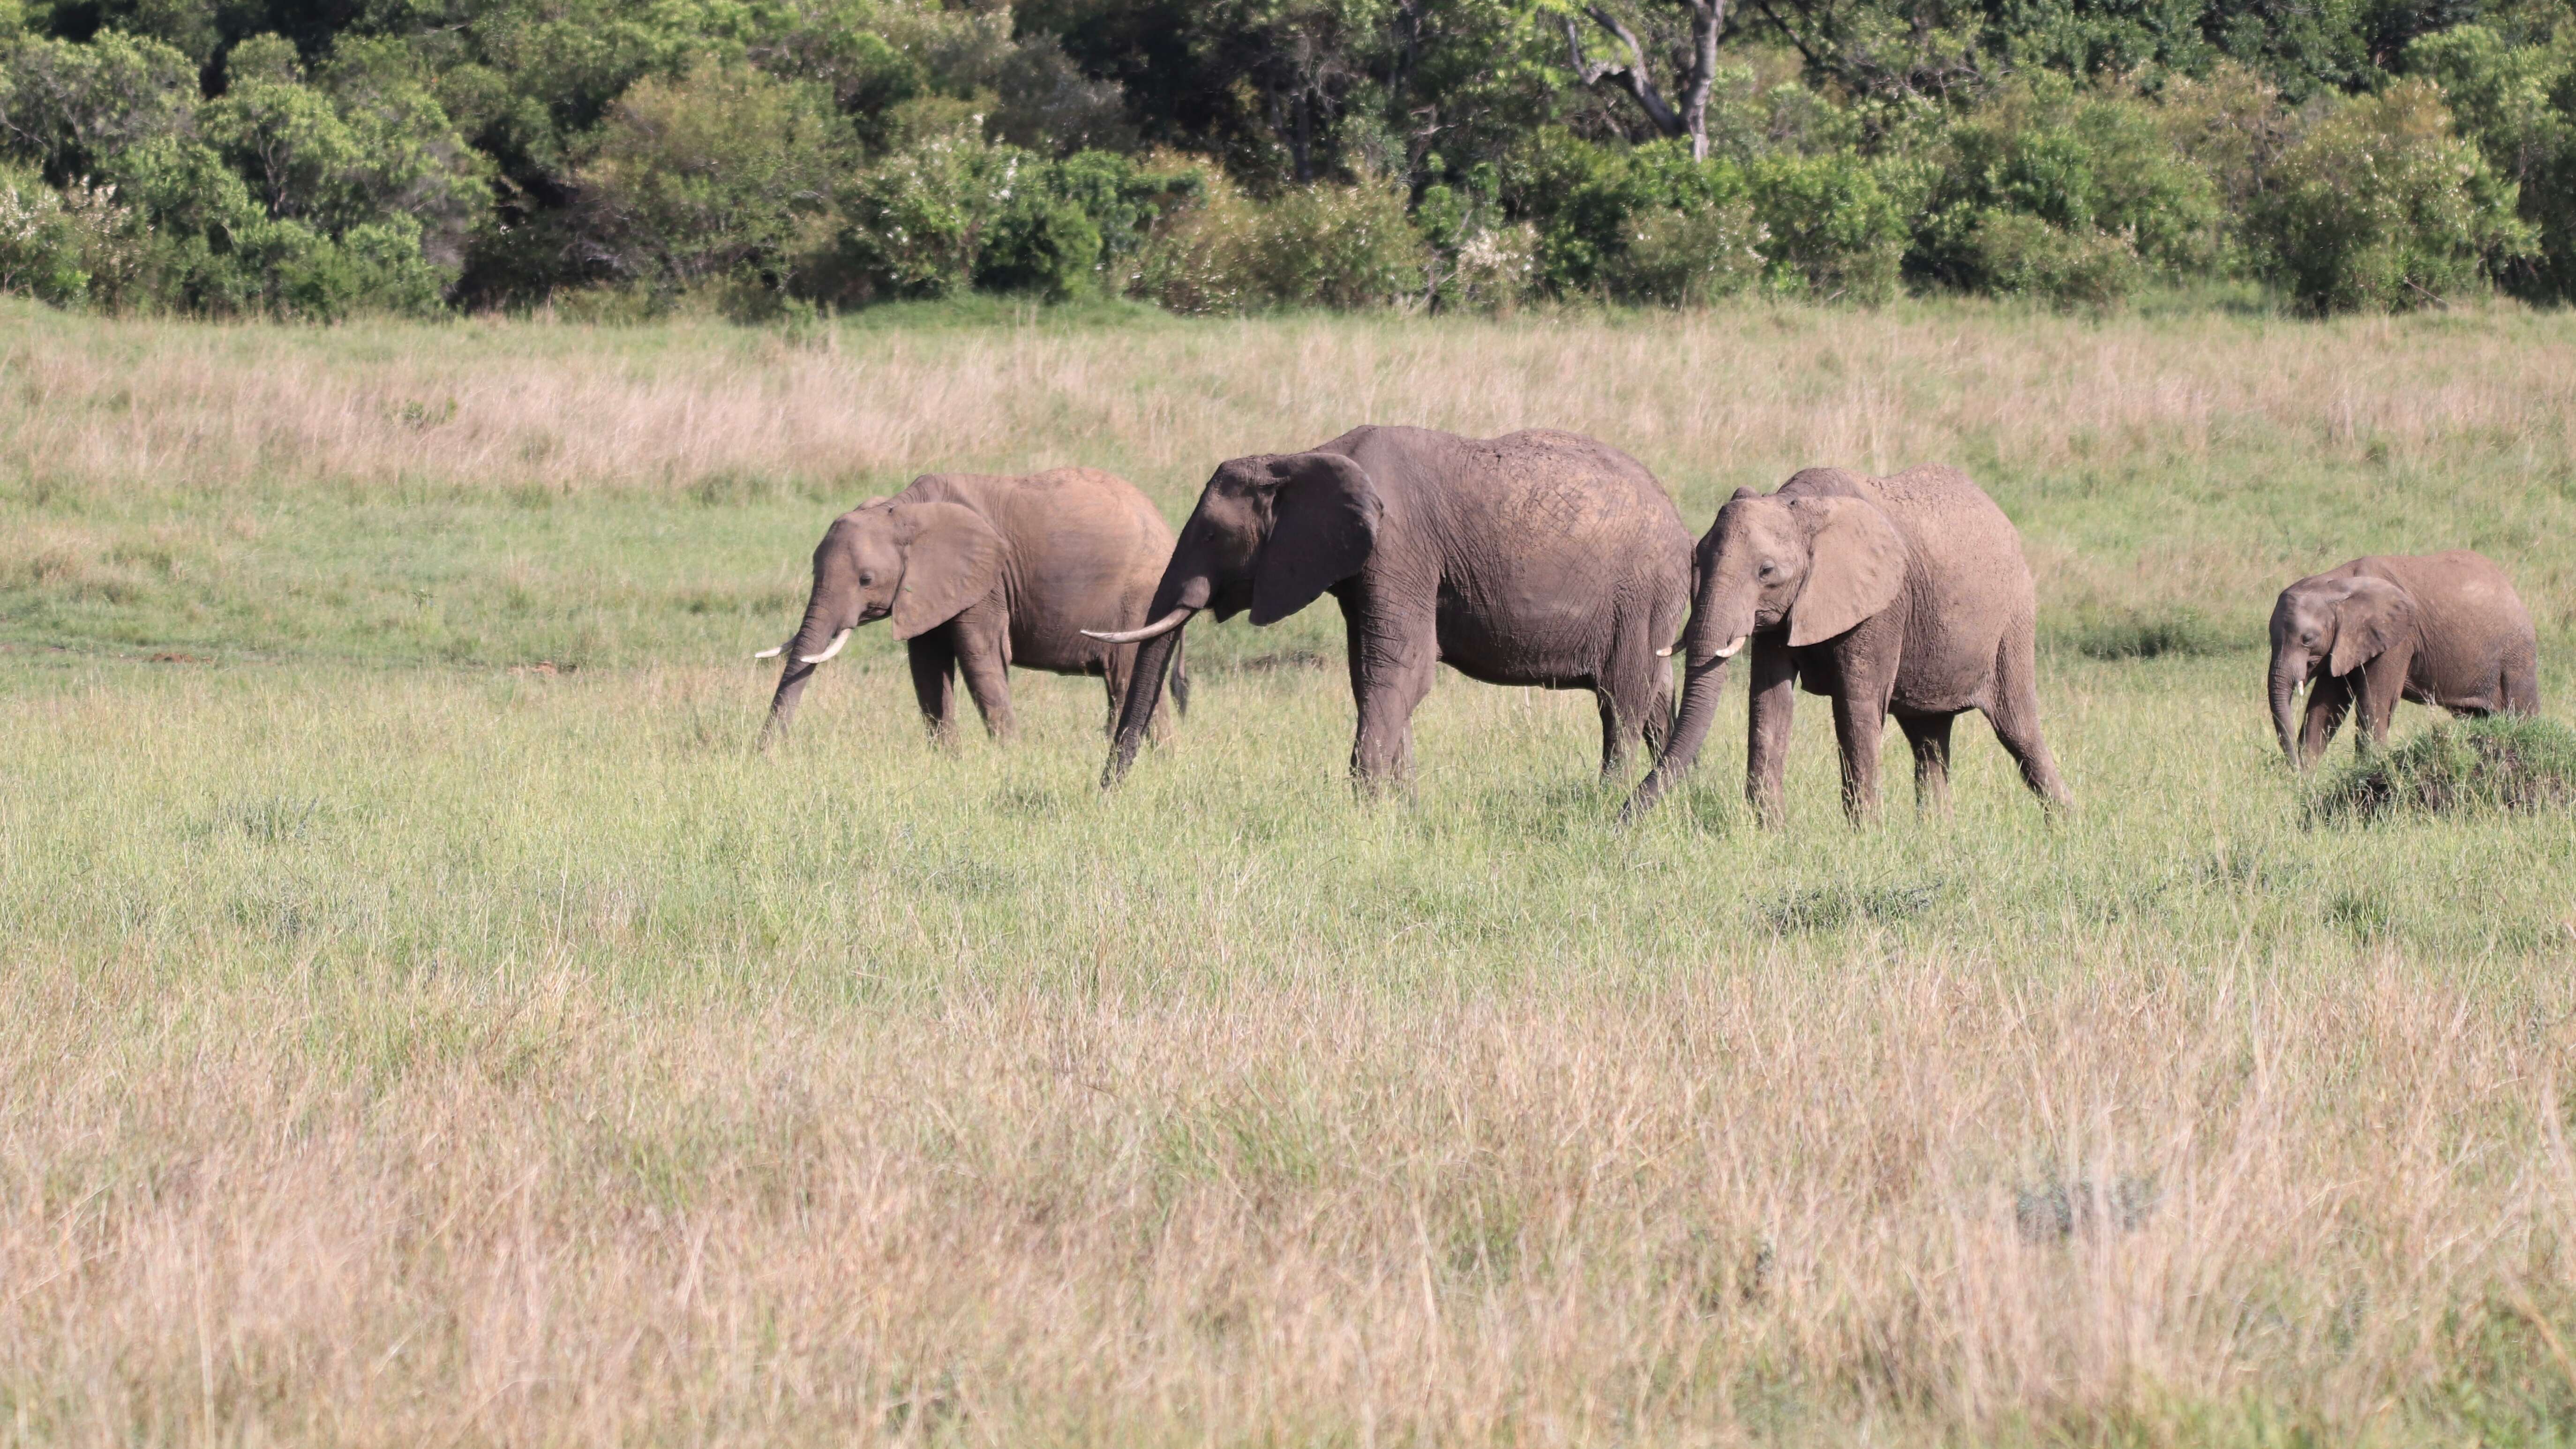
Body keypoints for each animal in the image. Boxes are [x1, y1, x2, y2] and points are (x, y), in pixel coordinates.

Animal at [752, 471, 1179, 746]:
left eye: (866, 580)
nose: (766, 754)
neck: (903, 508)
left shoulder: (986, 581)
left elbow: (979, 656)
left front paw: (1010, 757)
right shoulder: (927, 589)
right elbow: (926, 666)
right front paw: (947, 760)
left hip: (1140, 597)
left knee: (1124, 675)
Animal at [1081, 424, 1690, 788]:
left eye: (1211, 534)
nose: (1109, 792)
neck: (1300, 456)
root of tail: (1676, 515)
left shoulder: (1400, 550)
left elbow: (1397, 672)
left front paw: (1365, 809)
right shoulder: (1363, 568)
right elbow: (1374, 675)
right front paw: (1402, 811)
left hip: (1639, 595)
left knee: (1621, 702)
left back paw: (1608, 799)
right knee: (1654, 697)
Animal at [1628, 465, 2071, 828]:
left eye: (1766, 571)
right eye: (1695, 559)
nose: (1622, 817)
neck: (1800, 506)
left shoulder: (1882, 605)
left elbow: (1854, 705)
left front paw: (1865, 837)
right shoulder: (1781, 614)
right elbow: (1770, 703)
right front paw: (1769, 833)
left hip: (2013, 622)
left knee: (2018, 729)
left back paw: (2064, 828)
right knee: (1928, 739)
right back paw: (1937, 837)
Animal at [2256, 550, 2535, 767]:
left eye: (2307, 639)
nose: (2292, 767)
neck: (2336, 583)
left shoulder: (2397, 639)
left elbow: (2375, 702)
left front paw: (2368, 769)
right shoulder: (2343, 644)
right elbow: (2327, 705)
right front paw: (2307, 779)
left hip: (2517, 654)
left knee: (2521, 713)